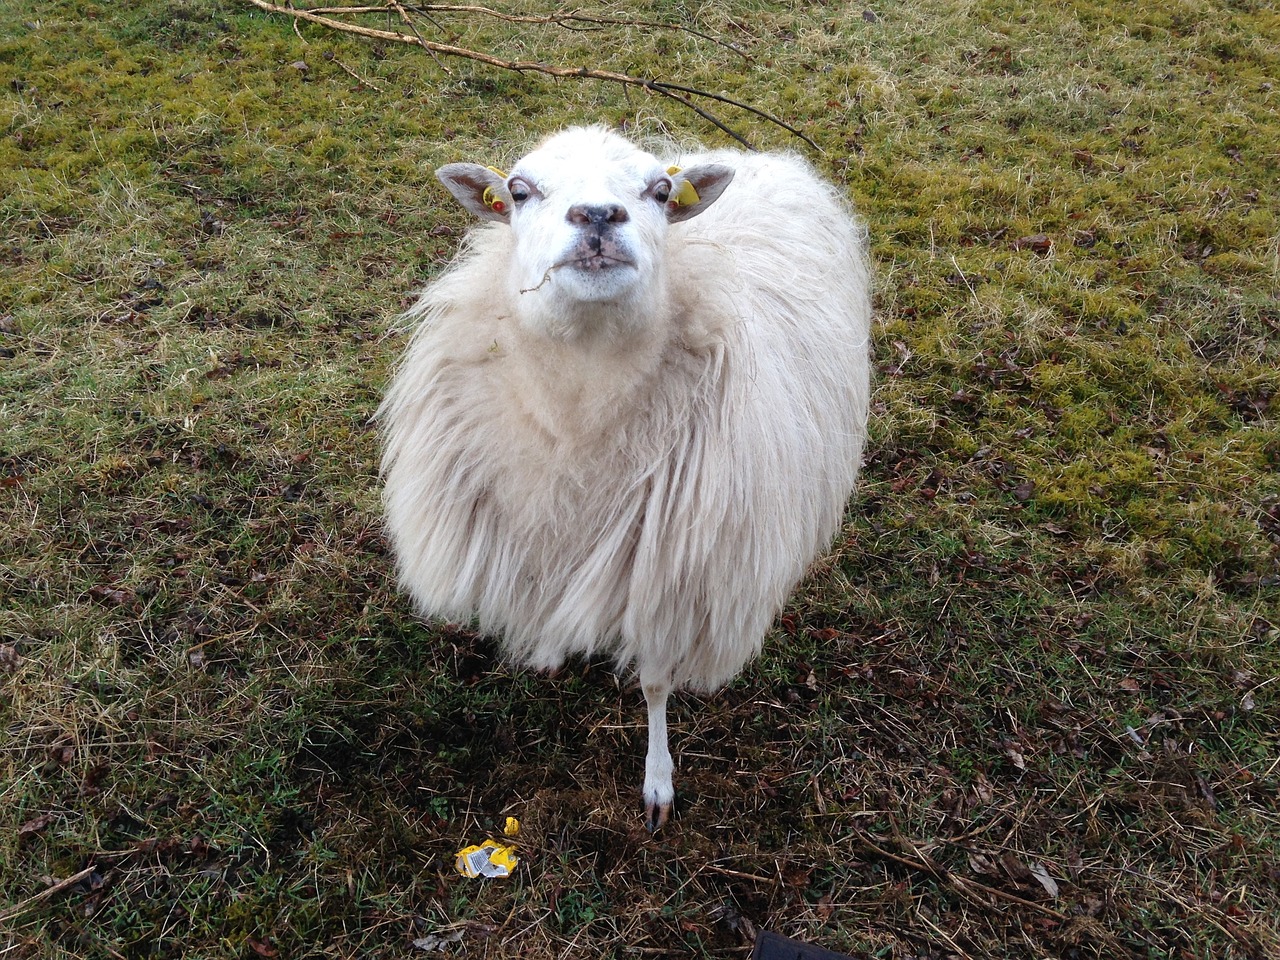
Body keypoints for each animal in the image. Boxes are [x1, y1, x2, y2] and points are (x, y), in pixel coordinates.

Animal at [378, 126, 875, 834]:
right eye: (519, 191)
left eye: (660, 192)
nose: (597, 216)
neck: (578, 408)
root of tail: (753, 156)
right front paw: (548, 654)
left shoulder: (672, 577)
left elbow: (656, 682)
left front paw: (658, 781)